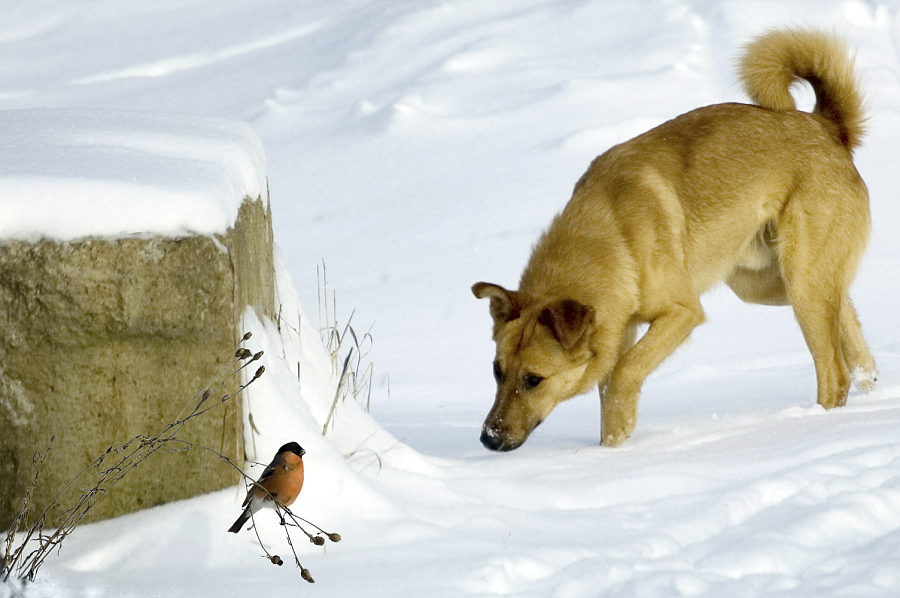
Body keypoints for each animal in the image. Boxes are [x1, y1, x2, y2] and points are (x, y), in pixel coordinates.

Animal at [474, 27, 876, 450]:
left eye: (534, 379)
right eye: (497, 370)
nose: (488, 438)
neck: (611, 233)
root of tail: (826, 129)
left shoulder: (682, 312)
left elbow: (625, 372)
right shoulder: (620, 330)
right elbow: (609, 393)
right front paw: (611, 448)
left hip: (800, 285)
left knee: (834, 374)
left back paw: (820, 424)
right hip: (772, 284)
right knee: (847, 321)